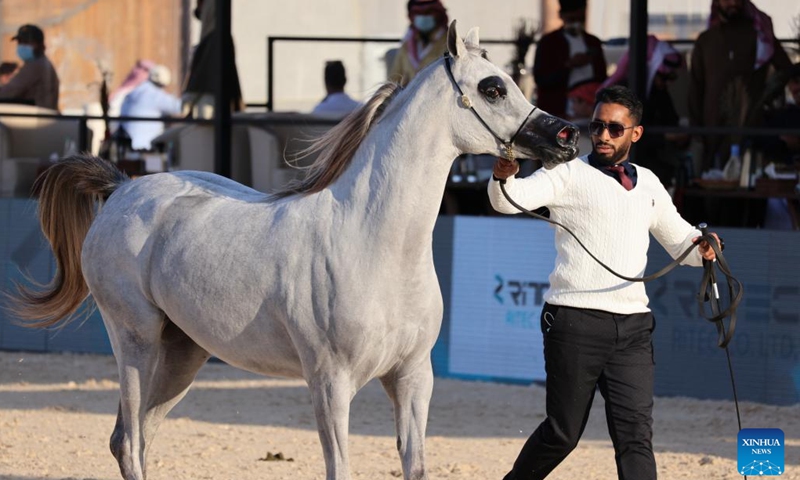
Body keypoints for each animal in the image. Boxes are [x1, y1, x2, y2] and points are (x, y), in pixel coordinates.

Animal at [9, 21, 578, 480]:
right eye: (492, 87)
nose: (567, 136)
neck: (374, 244)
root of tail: (123, 187)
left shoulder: (413, 378)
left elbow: (414, 465)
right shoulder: (330, 383)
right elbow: (338, 468)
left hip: (181, 353)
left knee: (136, 438)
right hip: (136, 342)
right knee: (129, 443)